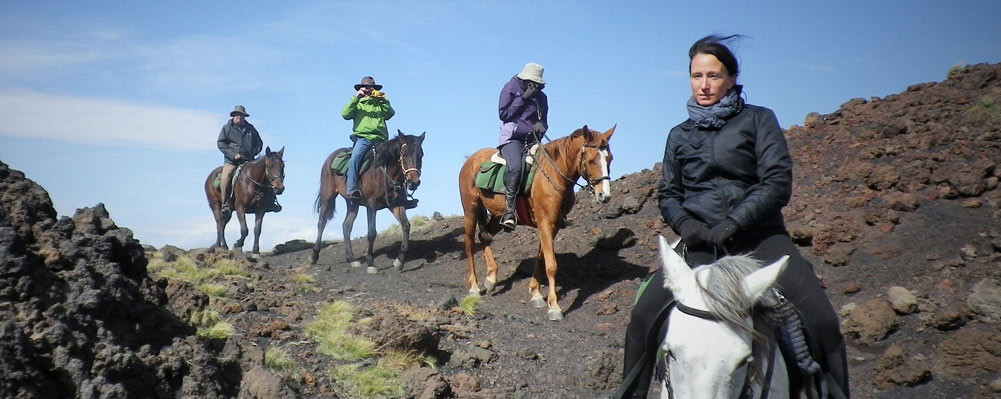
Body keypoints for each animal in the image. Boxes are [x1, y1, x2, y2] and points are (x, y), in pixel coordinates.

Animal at [310, 131, 424, 276]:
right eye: (403, 154)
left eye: (421, 155)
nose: (414, 182)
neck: (384, 173)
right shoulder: (371, 205)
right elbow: (371, 233)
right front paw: (370, 263)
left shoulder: (395, 204)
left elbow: (406, 226)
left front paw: (400, 261)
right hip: (327, 196)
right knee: (322, 223)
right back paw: (314, 256)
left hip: (352, 202)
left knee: (346, 225)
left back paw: (351, 259)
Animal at [458, 126, 612, 322]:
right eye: (591, 160)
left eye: (610, 158)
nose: (604, 195)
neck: (553, 174)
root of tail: (470, 159)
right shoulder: (545, 223)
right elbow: (551, 265)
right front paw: (554, 307)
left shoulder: (552, 226)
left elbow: (541, 259)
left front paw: (536, 294)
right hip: (470, 210)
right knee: (469, 244)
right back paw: (474, 287)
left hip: (497, 215)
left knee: (484, 235)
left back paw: (491, 278)